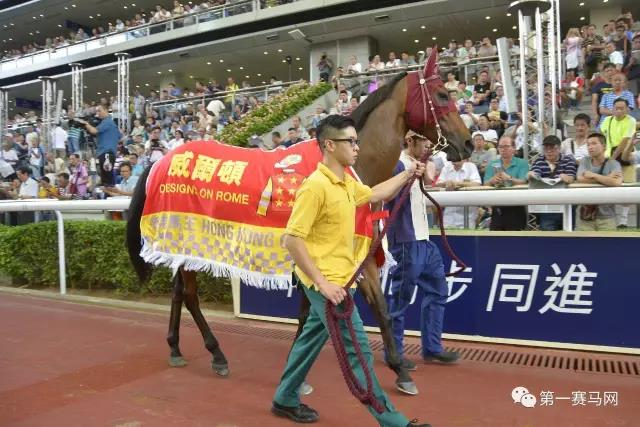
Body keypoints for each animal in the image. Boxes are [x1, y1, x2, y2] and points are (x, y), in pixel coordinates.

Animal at [126, 48, 472, 396]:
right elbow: (329, 311)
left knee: (177, 292)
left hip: (182, 243)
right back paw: (216, 354)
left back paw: (175, 347)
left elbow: (374, 309)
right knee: (189, 295)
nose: (468, 143)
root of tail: (161, 160)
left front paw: (399, 369)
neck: (347, 171)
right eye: (442, 95)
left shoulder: (356, 254)